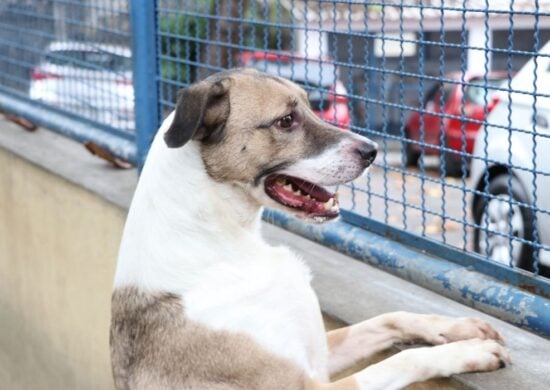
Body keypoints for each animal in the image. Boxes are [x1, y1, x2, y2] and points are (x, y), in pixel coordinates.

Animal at [112, 68, 512, 388]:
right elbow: (401, 359)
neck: (225, 243)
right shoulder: (310, 385)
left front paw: (455, 329)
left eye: (309, 106)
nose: (373, 151)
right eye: (286, 120)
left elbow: (388, 319)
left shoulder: (321, 351)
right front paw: (470, 352)